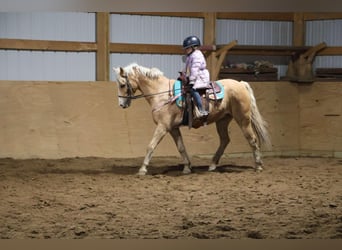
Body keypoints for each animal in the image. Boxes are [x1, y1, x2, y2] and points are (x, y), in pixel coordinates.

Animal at [113, 63, 272, 176]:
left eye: (122, 84)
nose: (121, 104)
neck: (162, 93)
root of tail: (240, 84)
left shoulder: (162, 127)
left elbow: (151, 146)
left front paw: (142, 169)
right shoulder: (173, 128)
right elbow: (181, 147)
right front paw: (187, 167)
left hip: (243, 119)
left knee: (252, 139)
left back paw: (258, 166)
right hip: (222, 120)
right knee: (225, 140)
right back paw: (212, 165)